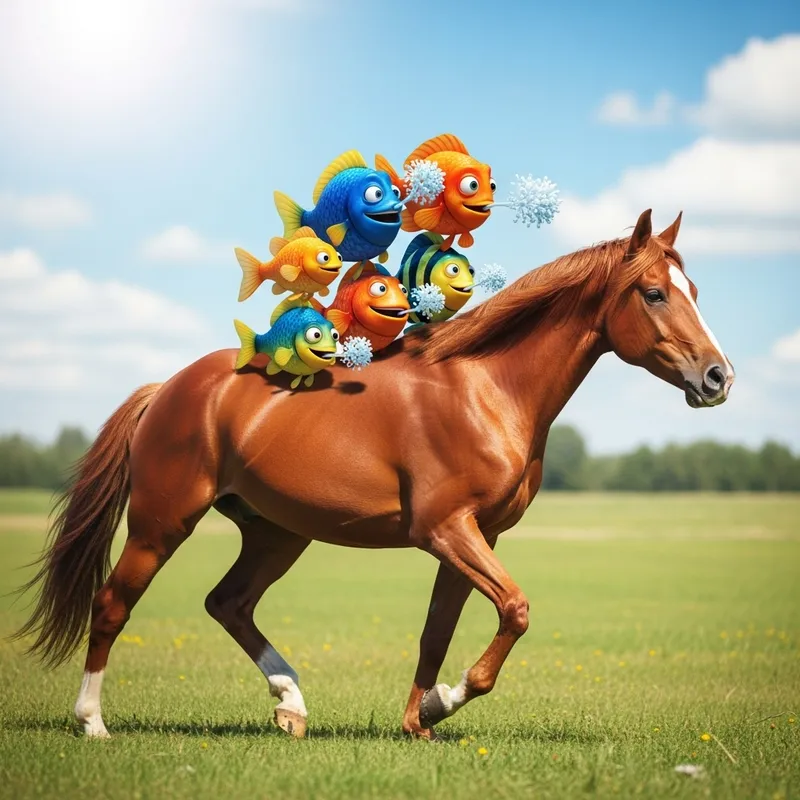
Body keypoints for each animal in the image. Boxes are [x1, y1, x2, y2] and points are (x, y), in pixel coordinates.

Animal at [16, 209, 734, 740]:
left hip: (277, 532)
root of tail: (169, 388)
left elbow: (438, 631)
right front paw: (444, 701)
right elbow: (516, 610)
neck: (485, 390)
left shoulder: (476, 537)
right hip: (162, 523)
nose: (718, 378)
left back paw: (291, 705)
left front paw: (421, 722)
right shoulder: (446, 530)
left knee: (229, 603)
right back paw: (93, 723)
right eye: (654, 293)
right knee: (113, 604)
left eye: (696, 292)